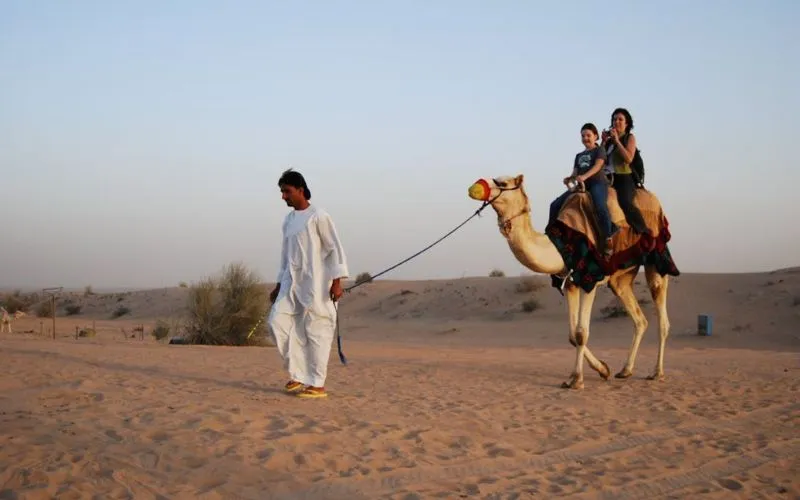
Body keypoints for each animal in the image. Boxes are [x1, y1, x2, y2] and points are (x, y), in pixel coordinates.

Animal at [467, 174, 680, 389]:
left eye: (502, 183)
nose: (475, 187)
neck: (561, 246)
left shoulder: (590, 278)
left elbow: (581, 332)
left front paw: (577, 380)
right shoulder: (570, 283)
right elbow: (572, 335)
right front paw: (602, 369)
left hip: (657, 256)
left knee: (662, 315)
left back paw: (657, 372)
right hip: (620, 278)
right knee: (639, 319)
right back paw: (625, 370)